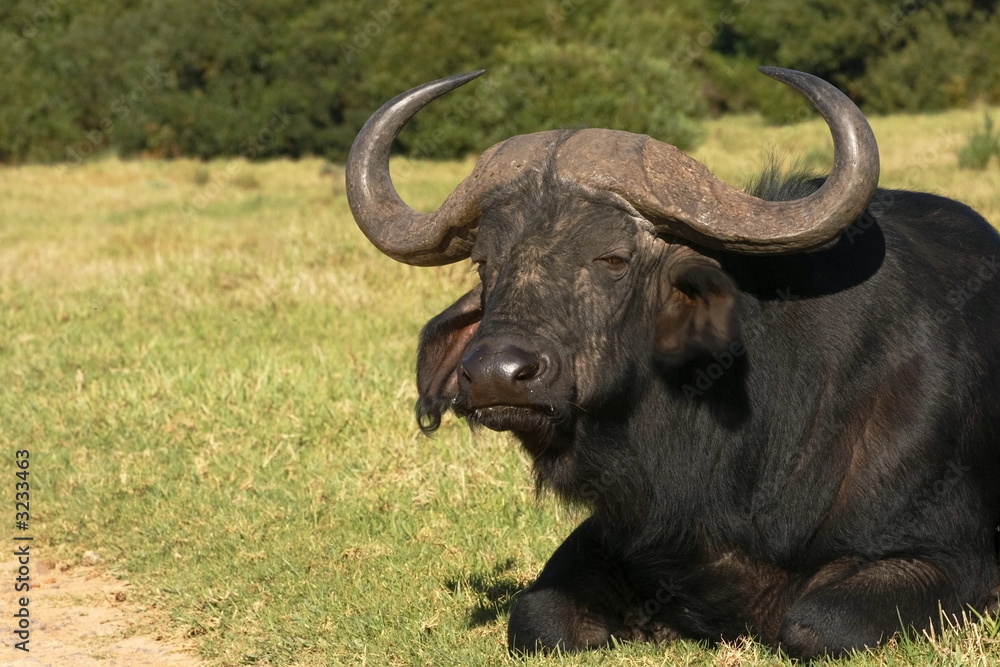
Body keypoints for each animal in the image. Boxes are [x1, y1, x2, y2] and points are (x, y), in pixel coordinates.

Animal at [346, 65, 1000, 660]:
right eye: (486, 262)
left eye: (612, 258)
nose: (495, 375)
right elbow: (539, 619)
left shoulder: (945, 556)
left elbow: (819, 625)